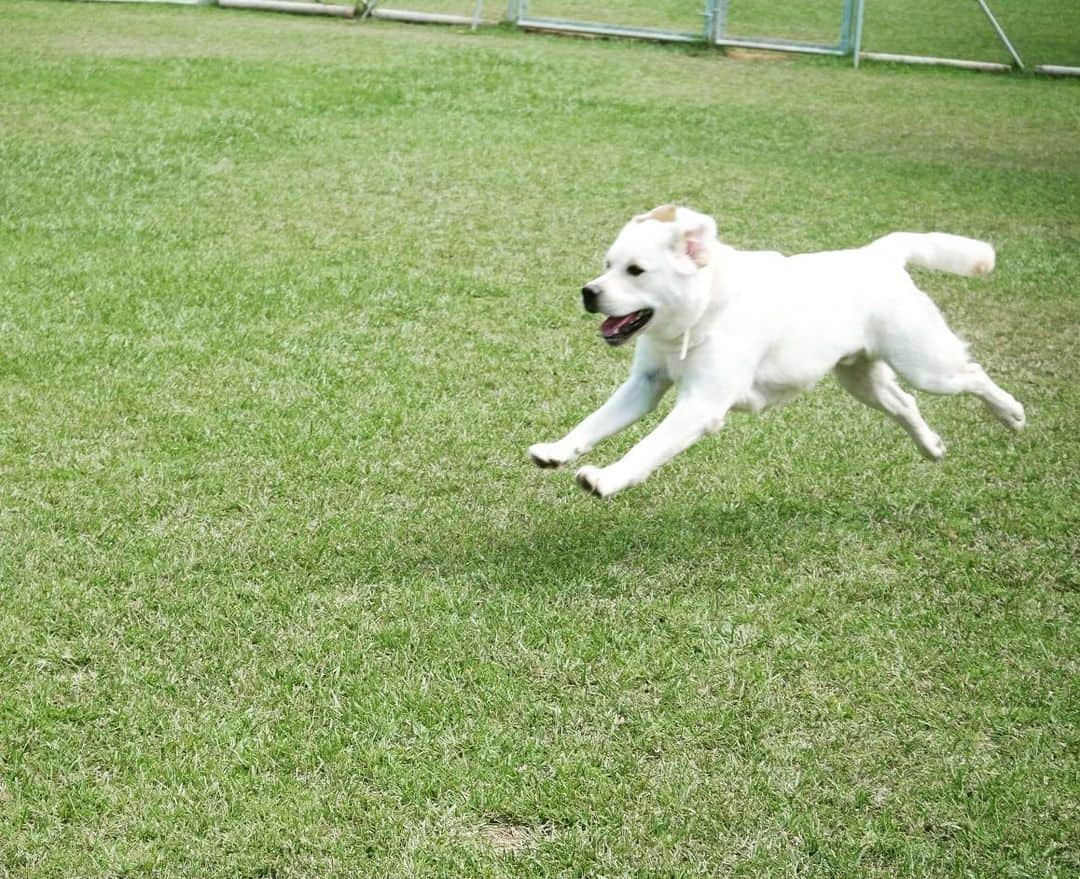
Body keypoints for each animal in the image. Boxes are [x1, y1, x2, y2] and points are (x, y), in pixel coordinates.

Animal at [527, 201, 1023, 498]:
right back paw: (932, 447)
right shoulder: (644, 385)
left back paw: (1012, 415)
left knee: (973, 375)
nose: (588, 292)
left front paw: (607, 478)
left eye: (635, 271)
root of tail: (879, 255)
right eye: (607, 265)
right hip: (860, 377)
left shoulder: (700, 404)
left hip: (927, 365)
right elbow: (593, 424)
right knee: (905, 403)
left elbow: (645, 449)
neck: (702, 313)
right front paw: (556, 451)